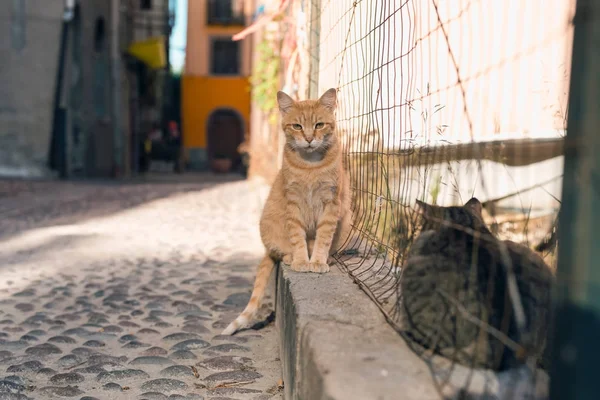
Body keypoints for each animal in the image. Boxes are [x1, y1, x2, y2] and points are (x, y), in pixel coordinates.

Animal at [223, 89, 354, 336]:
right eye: (297, 126)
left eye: (319, 124)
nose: (310, 138)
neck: (311, 165)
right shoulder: (293, 205)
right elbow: (298, 238)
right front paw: (303, 260)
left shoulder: (331, 204)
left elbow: (323, 238)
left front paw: (317, 260)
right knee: (280, 252)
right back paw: (291, 257)